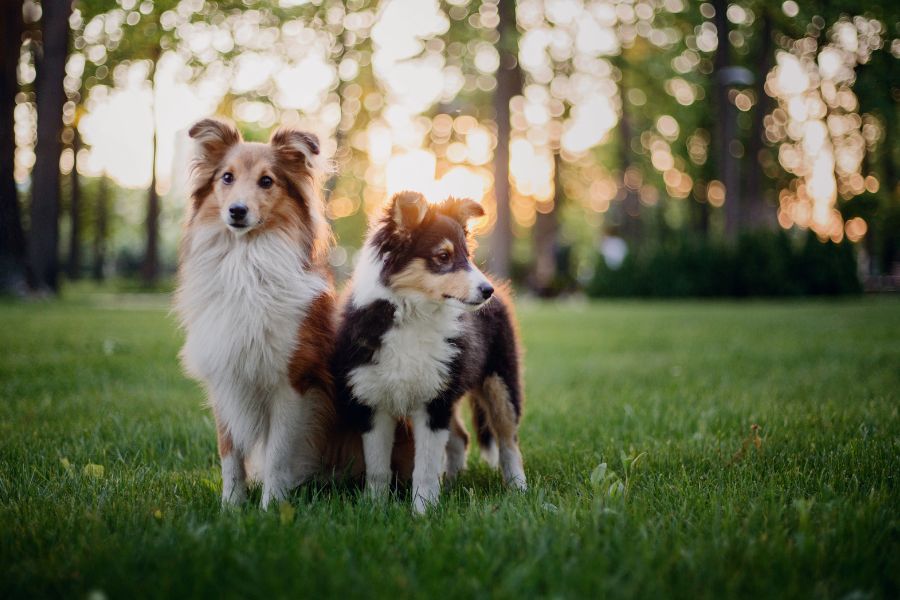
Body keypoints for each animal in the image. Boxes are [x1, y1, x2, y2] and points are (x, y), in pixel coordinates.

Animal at [174, 116, 336, 506]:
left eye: (267, 181)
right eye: (226, 177)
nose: (237, 211)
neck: (245, 265)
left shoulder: (292, 382)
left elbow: (277, 454)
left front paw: (271, 509)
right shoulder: (225, 377)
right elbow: (230, 453)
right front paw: (232, 507)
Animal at [330, 190, 528, 512]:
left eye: (467, 255)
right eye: (443, 256)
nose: (487, 291)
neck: (413, 313)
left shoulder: (433, 403)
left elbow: (424, 468)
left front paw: (423, 512)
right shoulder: (375, 402)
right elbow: (377, 468)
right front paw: (375, 508)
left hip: (500, 380)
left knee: (508, 439)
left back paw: (518, 489)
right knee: (460, 437)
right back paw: (452, 482)